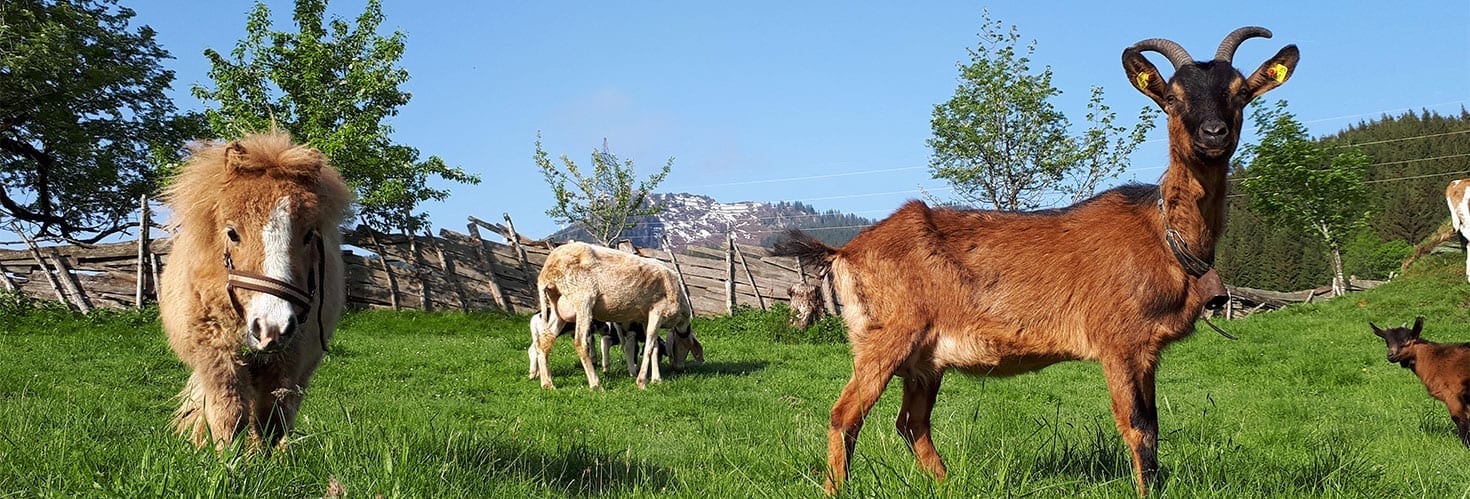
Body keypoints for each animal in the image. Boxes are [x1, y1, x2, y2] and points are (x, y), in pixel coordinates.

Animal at [158, 131, 349, 450]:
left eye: (309, 234)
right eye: (232, 233)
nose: (272, 327)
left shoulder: (289, 359)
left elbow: (272, 418)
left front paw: (264, 458)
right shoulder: (217, 353)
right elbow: (228, 411)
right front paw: (226, 460)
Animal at [538, 242, 702, 391]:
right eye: (685, 347)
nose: (678, 368)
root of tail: (548, 269)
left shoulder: (646, 317)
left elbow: (654, 347)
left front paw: (656, 380)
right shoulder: (658, 311)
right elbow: (649, 347)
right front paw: (641, 382)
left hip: (558, 306)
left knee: (544, 340)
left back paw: (547, 383)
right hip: (582, 299)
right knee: (580, 342)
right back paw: (596, 384)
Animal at [770, 27, 1299, 497]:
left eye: (1241, 93)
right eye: (1171, 97)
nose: (1213, 134)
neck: (1163, 233)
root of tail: (844, 251)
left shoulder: (1148, 351)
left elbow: (1154, 428)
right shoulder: (1119, 343)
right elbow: (1137, 428)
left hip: (925, 360)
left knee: (911, 423)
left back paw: (949, 485)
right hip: (885, 337)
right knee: (845, 416)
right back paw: (838, 489)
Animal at [1370, 317, 1464, 450]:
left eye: (1406, 341)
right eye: (1387, 342)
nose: (1390, 355)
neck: (1435, 360)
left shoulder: (1453, 394)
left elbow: (1459, 419)